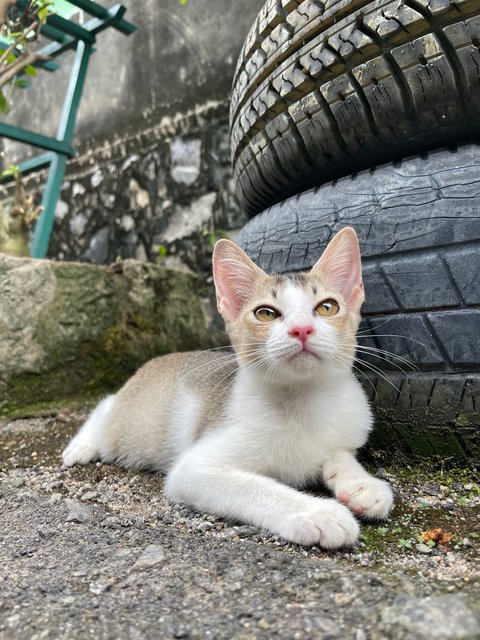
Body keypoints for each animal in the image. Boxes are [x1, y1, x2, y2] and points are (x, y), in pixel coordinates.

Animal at [62, 228, 394, 548]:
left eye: (327, 308)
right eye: (265, 313)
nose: (302, 329)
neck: (304, 398)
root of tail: (151, 364)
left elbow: (339, 454)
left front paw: (362, 484)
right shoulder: (194, 469)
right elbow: (252, 486)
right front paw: (317, 512)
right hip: (134, 426)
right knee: (106, 406)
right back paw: (81, 445)